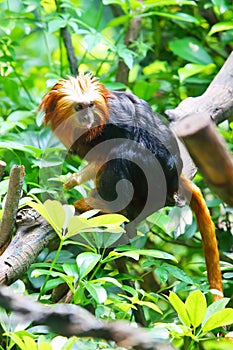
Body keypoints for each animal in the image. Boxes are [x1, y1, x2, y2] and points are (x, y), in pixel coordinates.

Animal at [39, 72, 223, 300]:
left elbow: (127, 141)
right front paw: (73, 179)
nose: (87, 118)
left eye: (91, 105)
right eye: (79, 107)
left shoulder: (114, 121)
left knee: (126, 151)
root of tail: (174, 182)